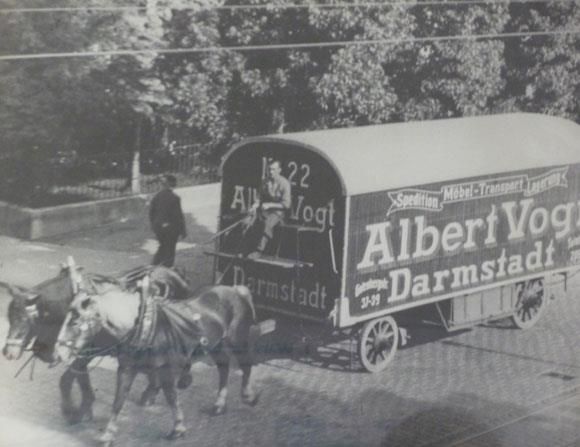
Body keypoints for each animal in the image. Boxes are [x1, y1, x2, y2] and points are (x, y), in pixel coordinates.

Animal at [2, 260, 193, 424]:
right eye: (9, 317)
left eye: (24, 319)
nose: (8, 352)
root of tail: (172, 271)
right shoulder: (82, 353)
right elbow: (79, 378)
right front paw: (84, 410)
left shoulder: (89, 352)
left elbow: (66, 379)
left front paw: (71, 411)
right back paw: (152, 390)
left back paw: (180, 379)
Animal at [55, 274, 260, 446]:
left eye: (75, 321)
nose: (58, 353)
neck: (143, 326)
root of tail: (237, 290)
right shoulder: (127, 369)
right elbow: (118, 400)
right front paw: (108, 435)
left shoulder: (168, 369)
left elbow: (171, 397)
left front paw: (178, 429)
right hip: (216, 344)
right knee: (223, 368)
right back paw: (219, 405)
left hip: (237, 339)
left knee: (245, 365)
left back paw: (248, 396)